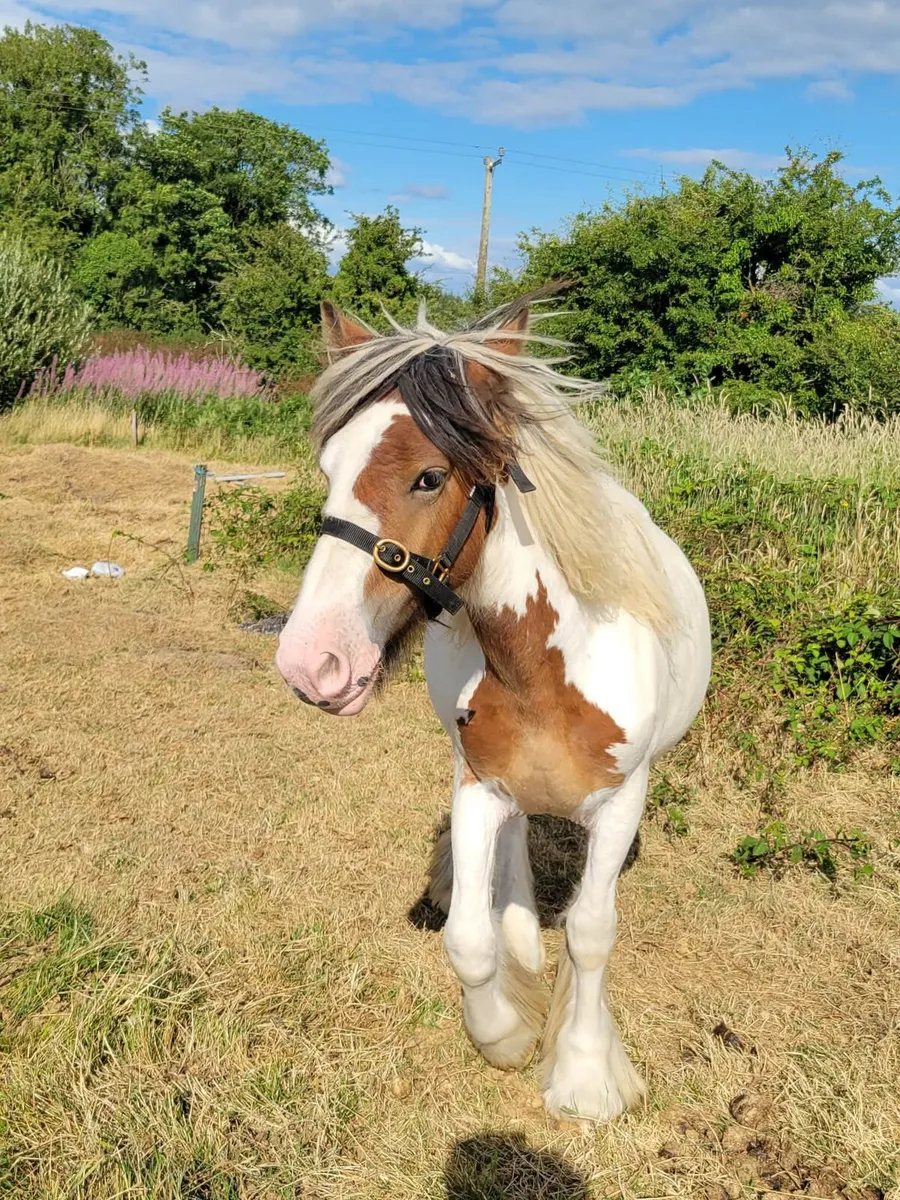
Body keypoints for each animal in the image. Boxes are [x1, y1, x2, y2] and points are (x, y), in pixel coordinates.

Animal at [275, 294, 711, 1123]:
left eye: (428, 476)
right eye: (328, 469)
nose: (311, 662)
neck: (545, 669)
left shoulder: (623, 800)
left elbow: (593, 931)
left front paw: (584, 1075)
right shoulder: (478, 784)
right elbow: (468, 940)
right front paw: (506, 1034)